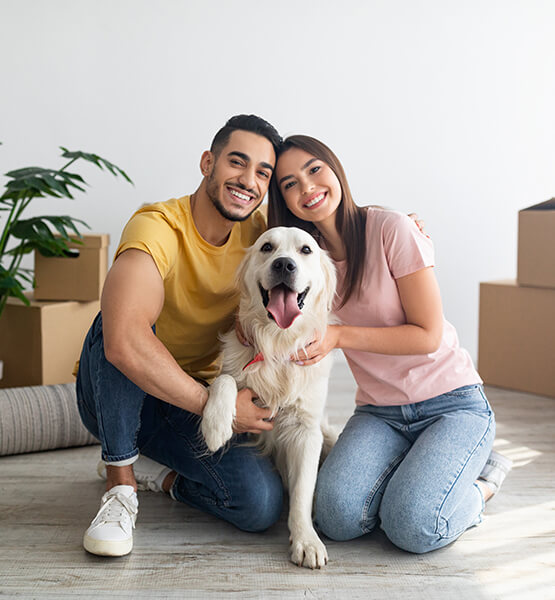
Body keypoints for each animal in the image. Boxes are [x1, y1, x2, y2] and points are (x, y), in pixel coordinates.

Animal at [201, 225, 336, 568]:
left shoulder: (307, 430)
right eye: (267, 247)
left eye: (305, 250)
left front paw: (306, 540)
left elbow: (302, 492)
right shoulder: (234, 372)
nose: (284, 265)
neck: (277, 342)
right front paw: (216, 425)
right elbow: (225, 380)